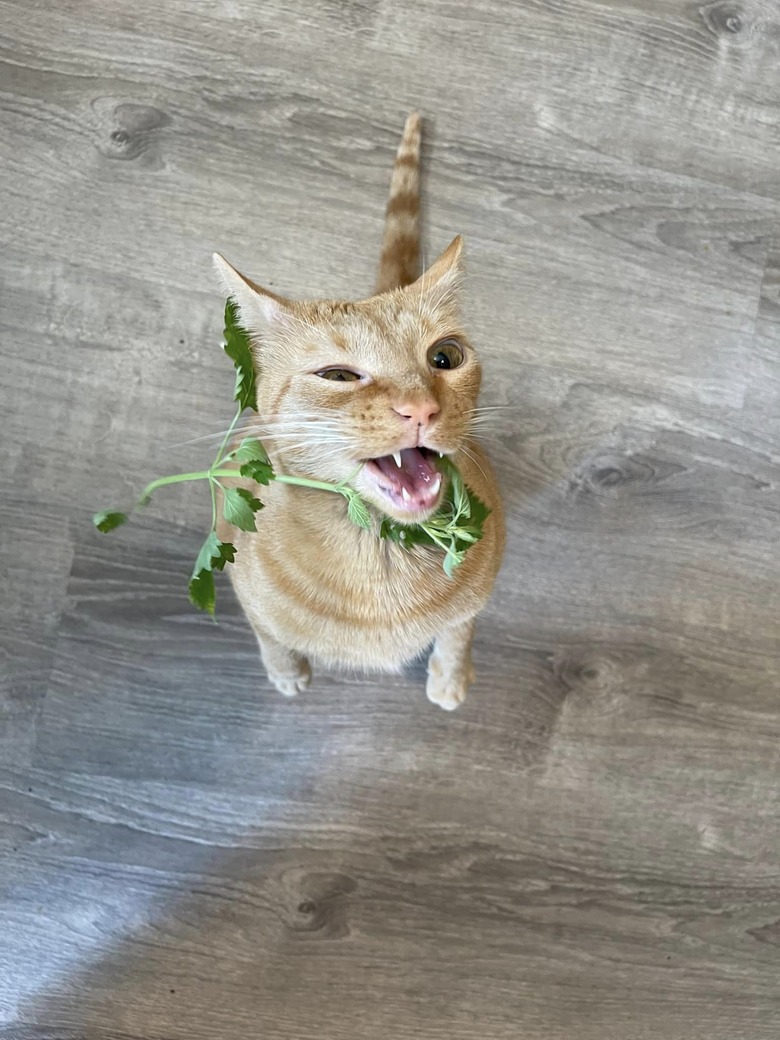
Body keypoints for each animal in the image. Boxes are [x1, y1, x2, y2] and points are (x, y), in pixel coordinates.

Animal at [215, 115, 507, 715]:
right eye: (339, 376)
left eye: (445, 358)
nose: (421, 407)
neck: (380, 557)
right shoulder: (244, 589)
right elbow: (269, 636)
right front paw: (285, 672)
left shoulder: (482, 584)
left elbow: (459, 630)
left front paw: (449, 678)